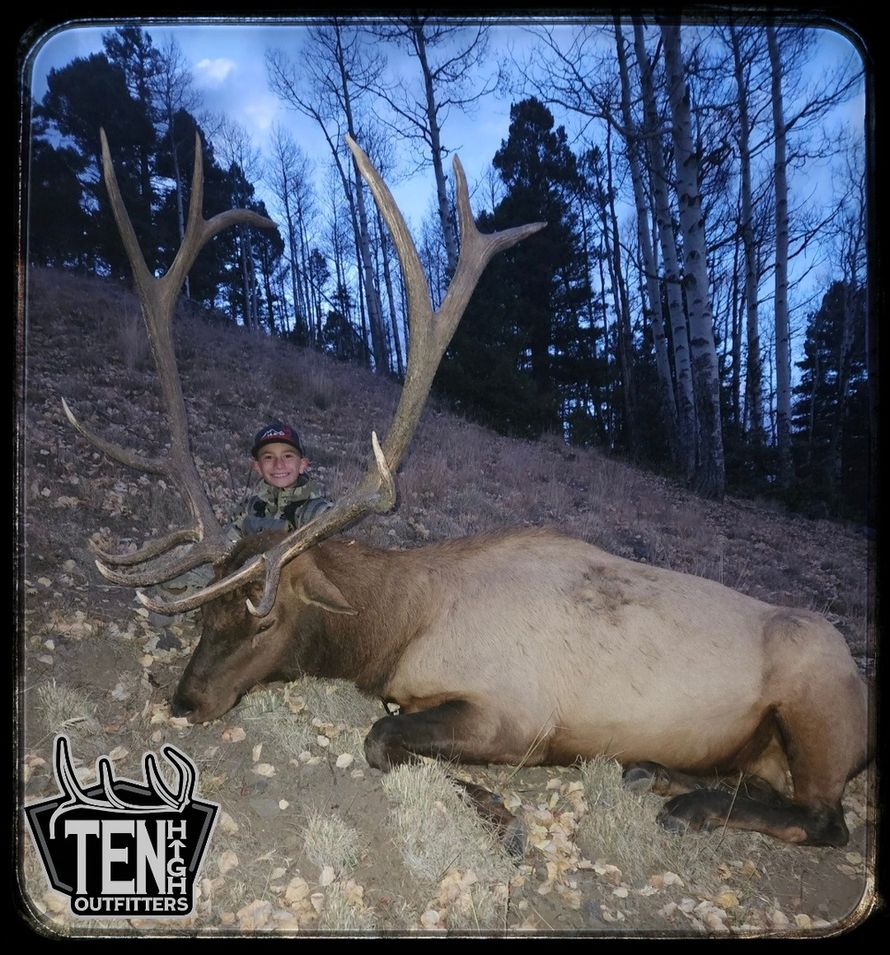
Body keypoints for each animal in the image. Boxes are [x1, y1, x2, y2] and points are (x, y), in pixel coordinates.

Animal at [62, 129, 870, 854]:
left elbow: (380, 737)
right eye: (207, 611)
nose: (186, 699)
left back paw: (689, 806)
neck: (399, 628)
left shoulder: (516, 712)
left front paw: (502, 818)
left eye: (263, 621)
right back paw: (656, 774)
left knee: (828, 820)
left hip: (818, 704)